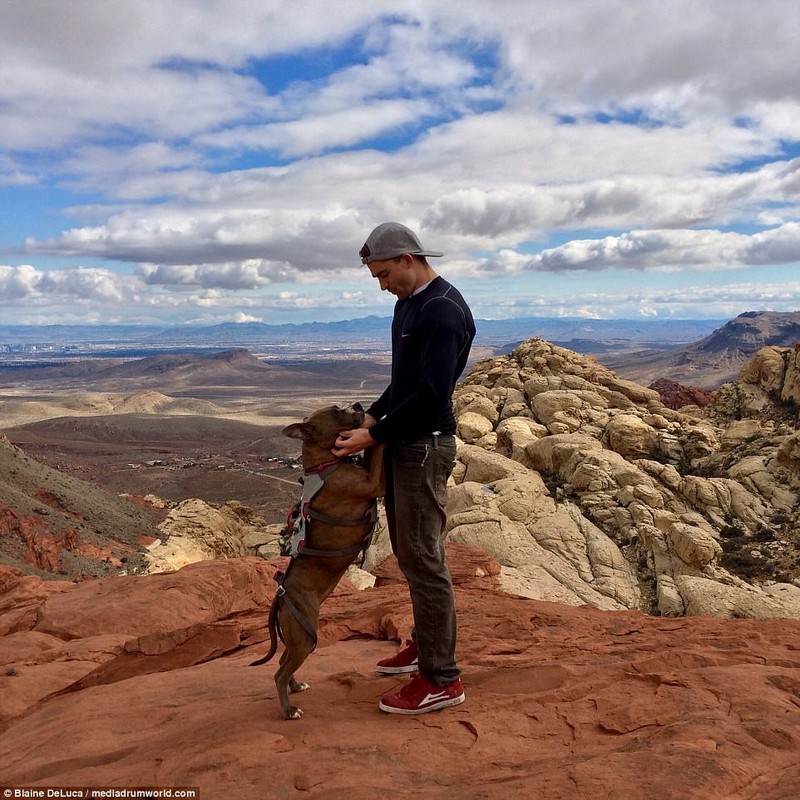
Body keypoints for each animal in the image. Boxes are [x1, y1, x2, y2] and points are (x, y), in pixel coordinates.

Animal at [252, 404, 386, 720]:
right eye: (336, 411)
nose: (359, 405)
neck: (325, 465)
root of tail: (280, 596)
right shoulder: (374, 482)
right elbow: (376, 448)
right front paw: (377, 430)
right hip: (304, 635)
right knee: (279, 672)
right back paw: (289, 710)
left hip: (297, 636)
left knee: (283, 664)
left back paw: (296, 685)